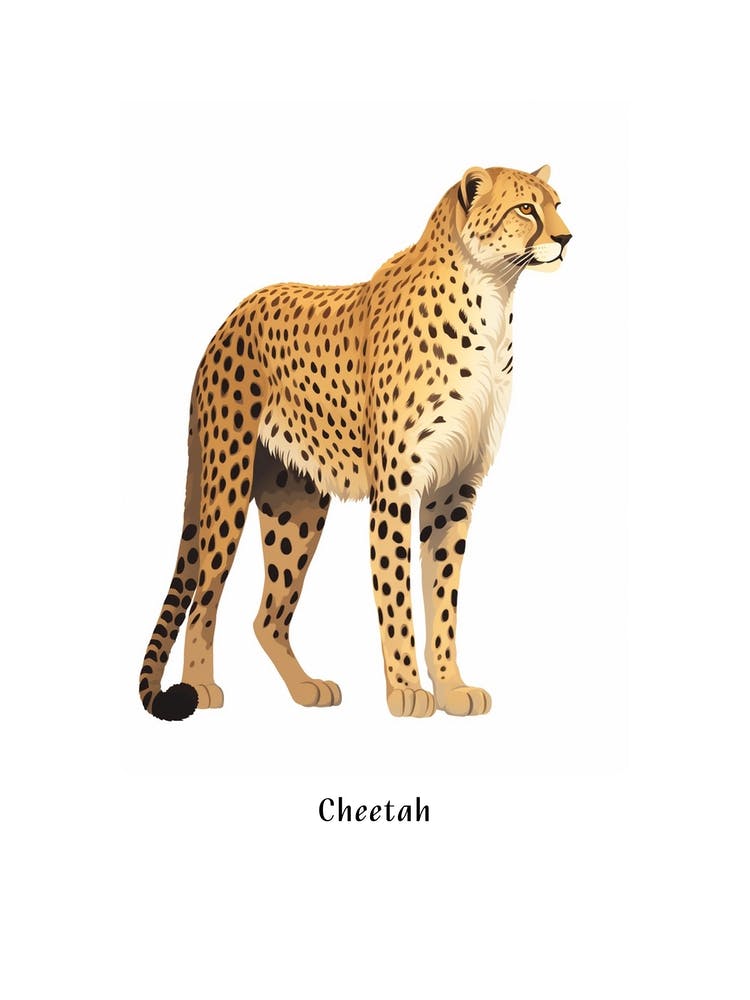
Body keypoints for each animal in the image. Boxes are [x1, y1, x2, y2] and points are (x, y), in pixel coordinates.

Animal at [139, 163, 572, 720]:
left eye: (557, 204)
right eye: (526, 209)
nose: (566, 238)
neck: (493, 295)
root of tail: (232, 316)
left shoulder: (454, 489)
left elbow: (443, 598)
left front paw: (452, 688)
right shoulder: (396, 489)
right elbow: (396, 594)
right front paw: (407, 690)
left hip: (295, 505)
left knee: (268, 616)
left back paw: (307, 688)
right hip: (228, 487)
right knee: (205, 595)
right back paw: (201, 686)